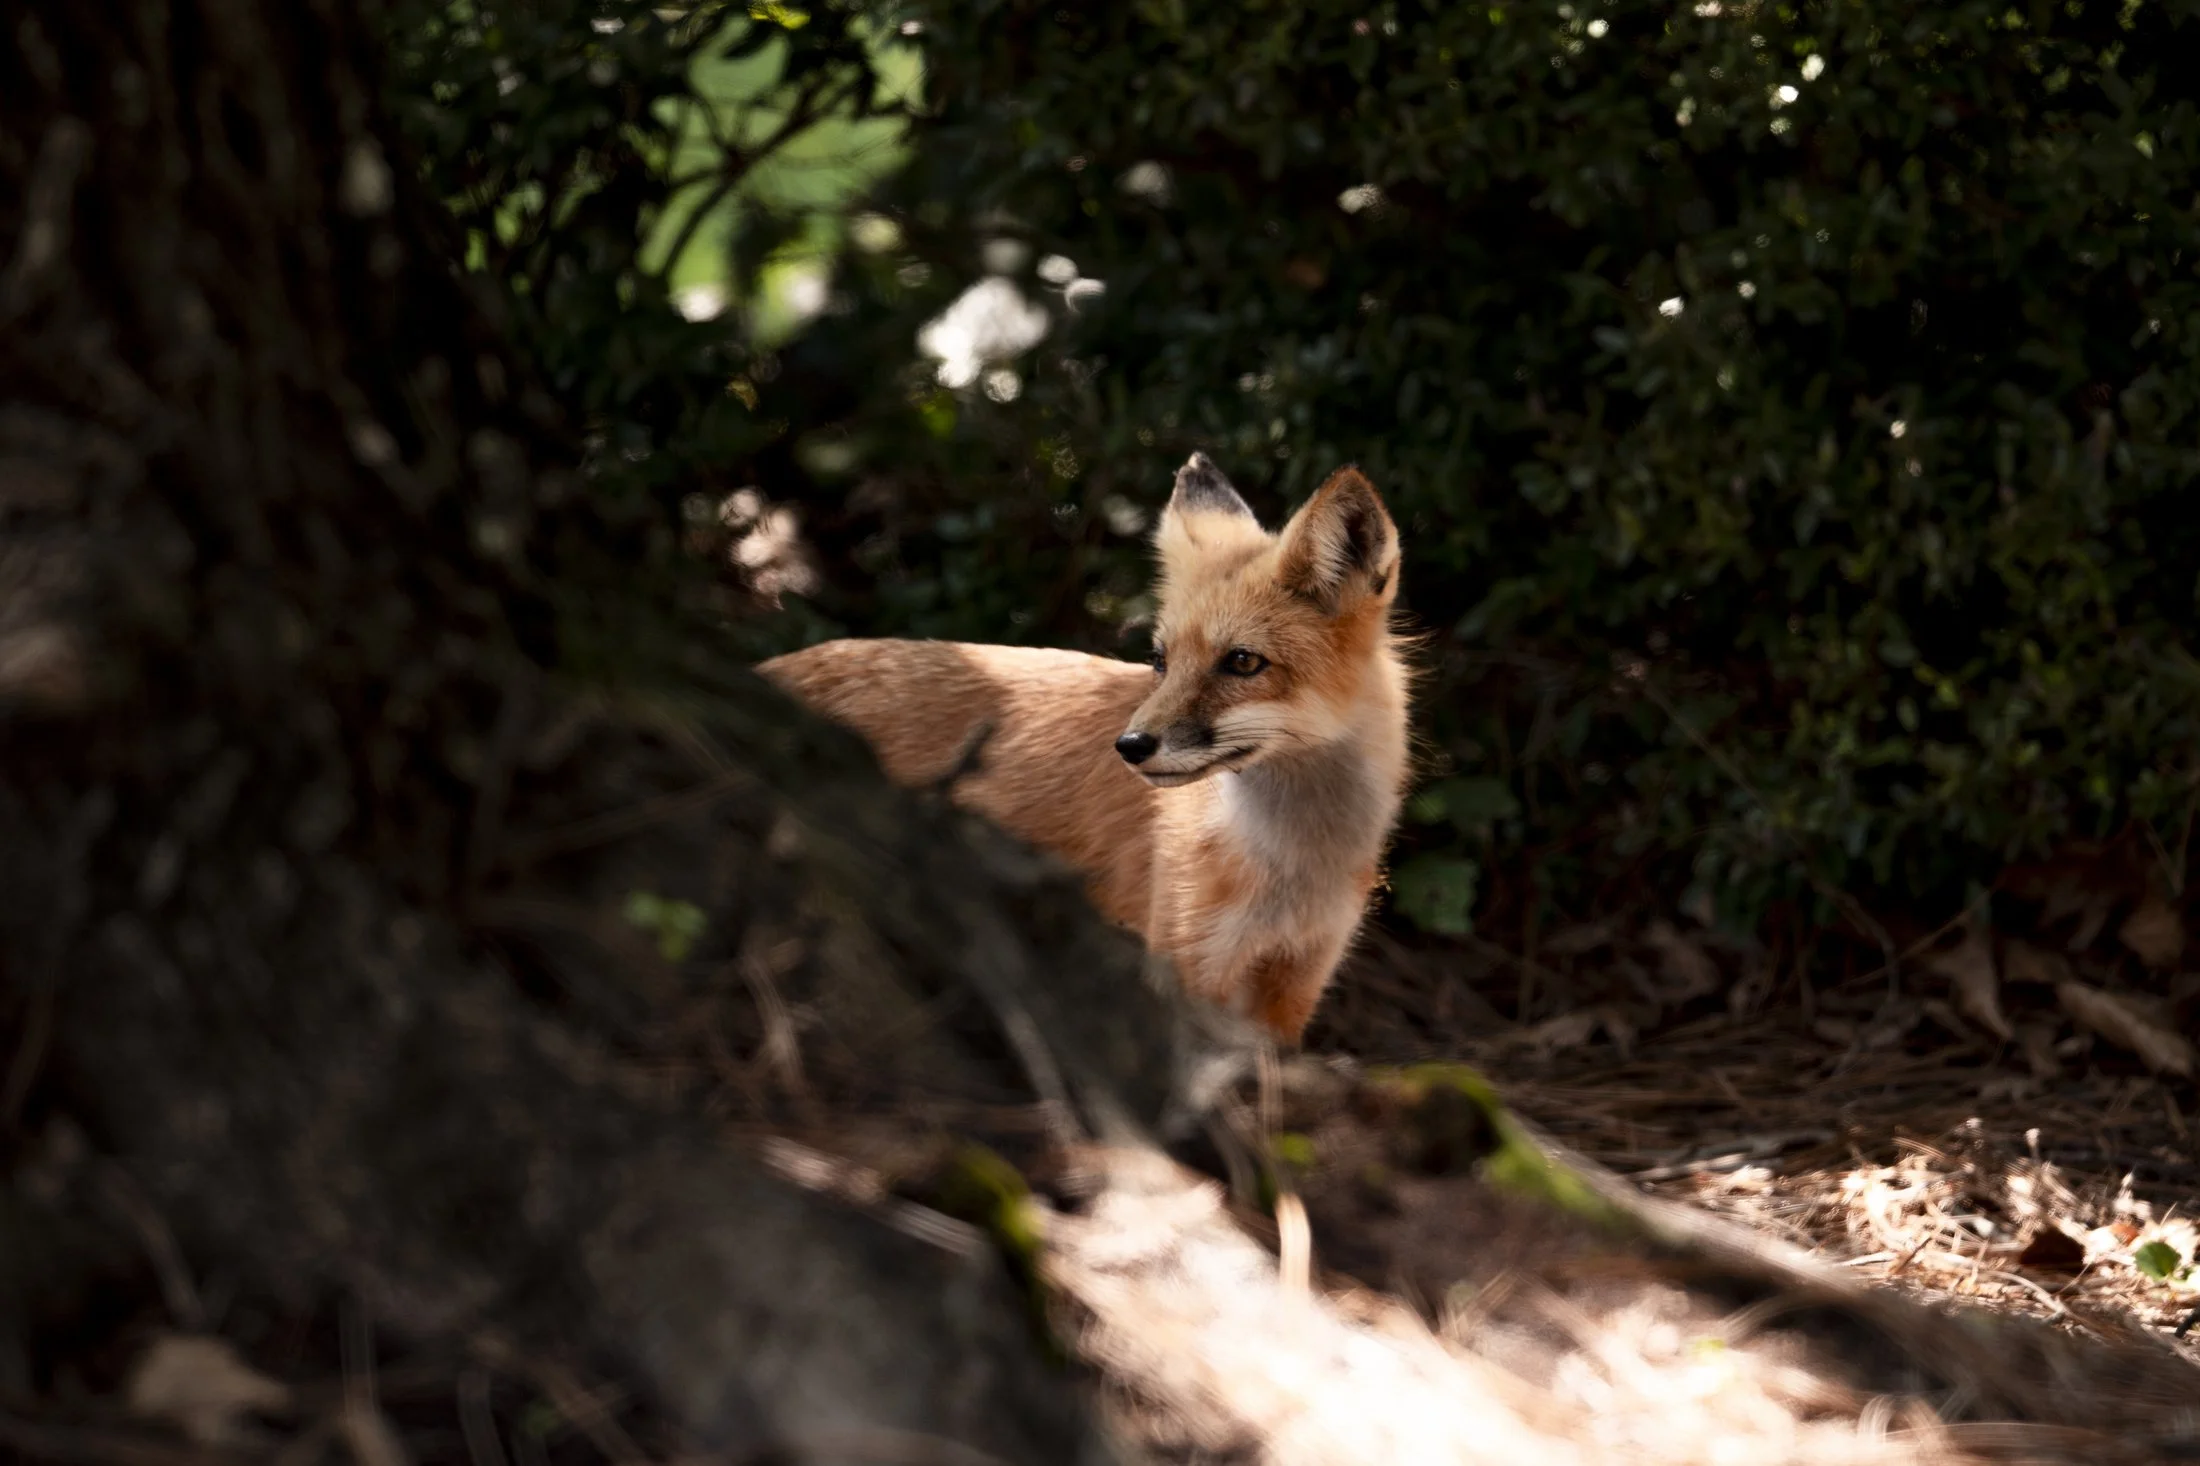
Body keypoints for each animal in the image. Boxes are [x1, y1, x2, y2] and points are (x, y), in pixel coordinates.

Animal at [759, 453, 1411, 1044]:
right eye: (1161, 661)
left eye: (1244, 662)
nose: (1129, 746)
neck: (1294, 866)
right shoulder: (1187, 967)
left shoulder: (1292, 987)